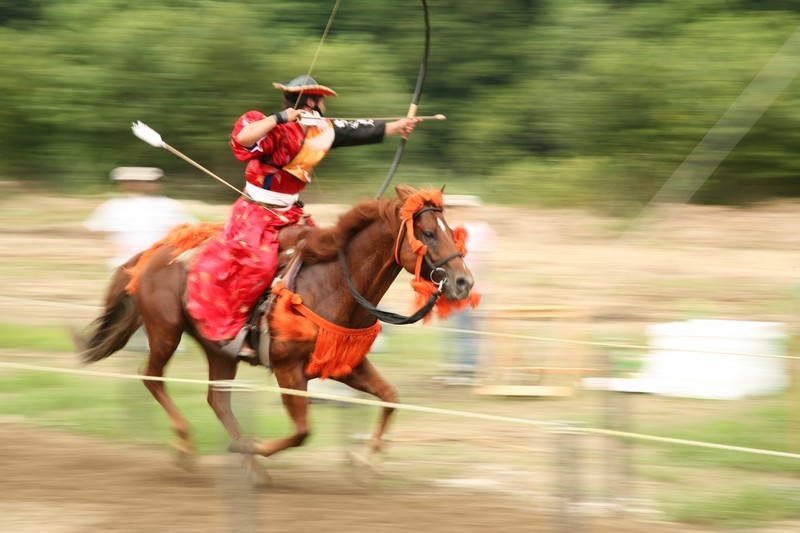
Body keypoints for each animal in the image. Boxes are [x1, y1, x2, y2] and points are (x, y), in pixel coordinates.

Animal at [75, 185, 476, 468]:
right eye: (427, 233)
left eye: (450, 230)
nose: (463, 282)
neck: (332, 283)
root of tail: (152, 252)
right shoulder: (289, 370)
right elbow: (302, 431)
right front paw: (257, 447)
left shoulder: (345, 363)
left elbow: (391, 397)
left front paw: (366, 460)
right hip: (165, 332)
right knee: (152, 378)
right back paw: (188, 444)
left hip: (218, 349)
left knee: (217, 399)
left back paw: (242, 455)